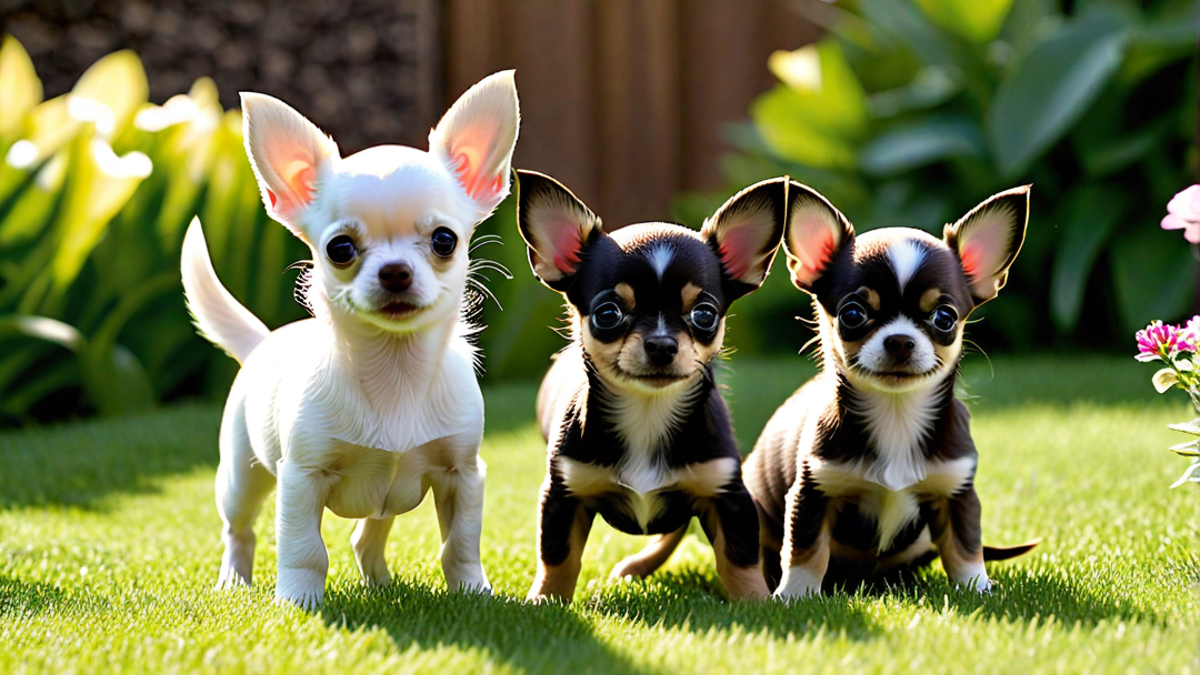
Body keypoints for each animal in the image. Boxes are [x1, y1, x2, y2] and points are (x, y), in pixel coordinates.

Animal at [180, 70, 518, 607]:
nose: (395, 271)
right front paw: (298, 602)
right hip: (240, 474)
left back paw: (380, 582)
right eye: (340, 249)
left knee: (366, 535)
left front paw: (474, 594)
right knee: (239, 529)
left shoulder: (463, 474)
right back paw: (234, 579)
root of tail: (263, 342)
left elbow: (460, 545)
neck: (394, 371)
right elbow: (304, 548)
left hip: (387, 498)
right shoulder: (301, 477)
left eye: (445, 240)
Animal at [516, 168, 796, 598]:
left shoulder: (727, 494)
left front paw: (756, 602)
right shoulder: (563, 493)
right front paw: (545, 601)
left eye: (704, 314)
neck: (647, 413)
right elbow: (558, 557)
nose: (662, 344)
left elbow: (739, 559)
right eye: (608, 313)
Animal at [748, 181, 1041, 595]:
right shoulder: (813, 491)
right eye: (853, 314)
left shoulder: (957, 492)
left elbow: (965, 546)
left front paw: (977, 588)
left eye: (944, 317)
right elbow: (805, 550)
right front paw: (794, 595)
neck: (896, 413)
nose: (900, 341)